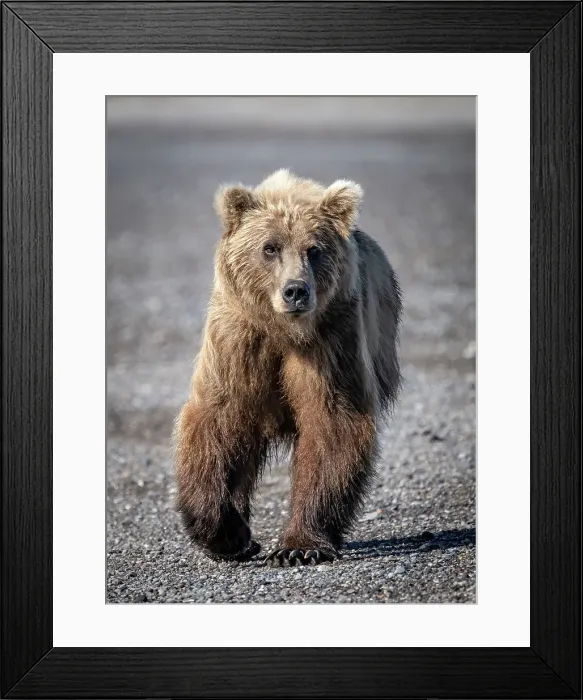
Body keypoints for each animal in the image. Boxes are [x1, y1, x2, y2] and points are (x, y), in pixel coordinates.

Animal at [174, 169, 401, 566]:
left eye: (314, 249)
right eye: (270, 248)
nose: (296, 290)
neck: (283, 330)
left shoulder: (331, 337)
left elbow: (332, 421)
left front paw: (299, 547)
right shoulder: (237, 335)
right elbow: (218, 416)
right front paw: (226, 534)